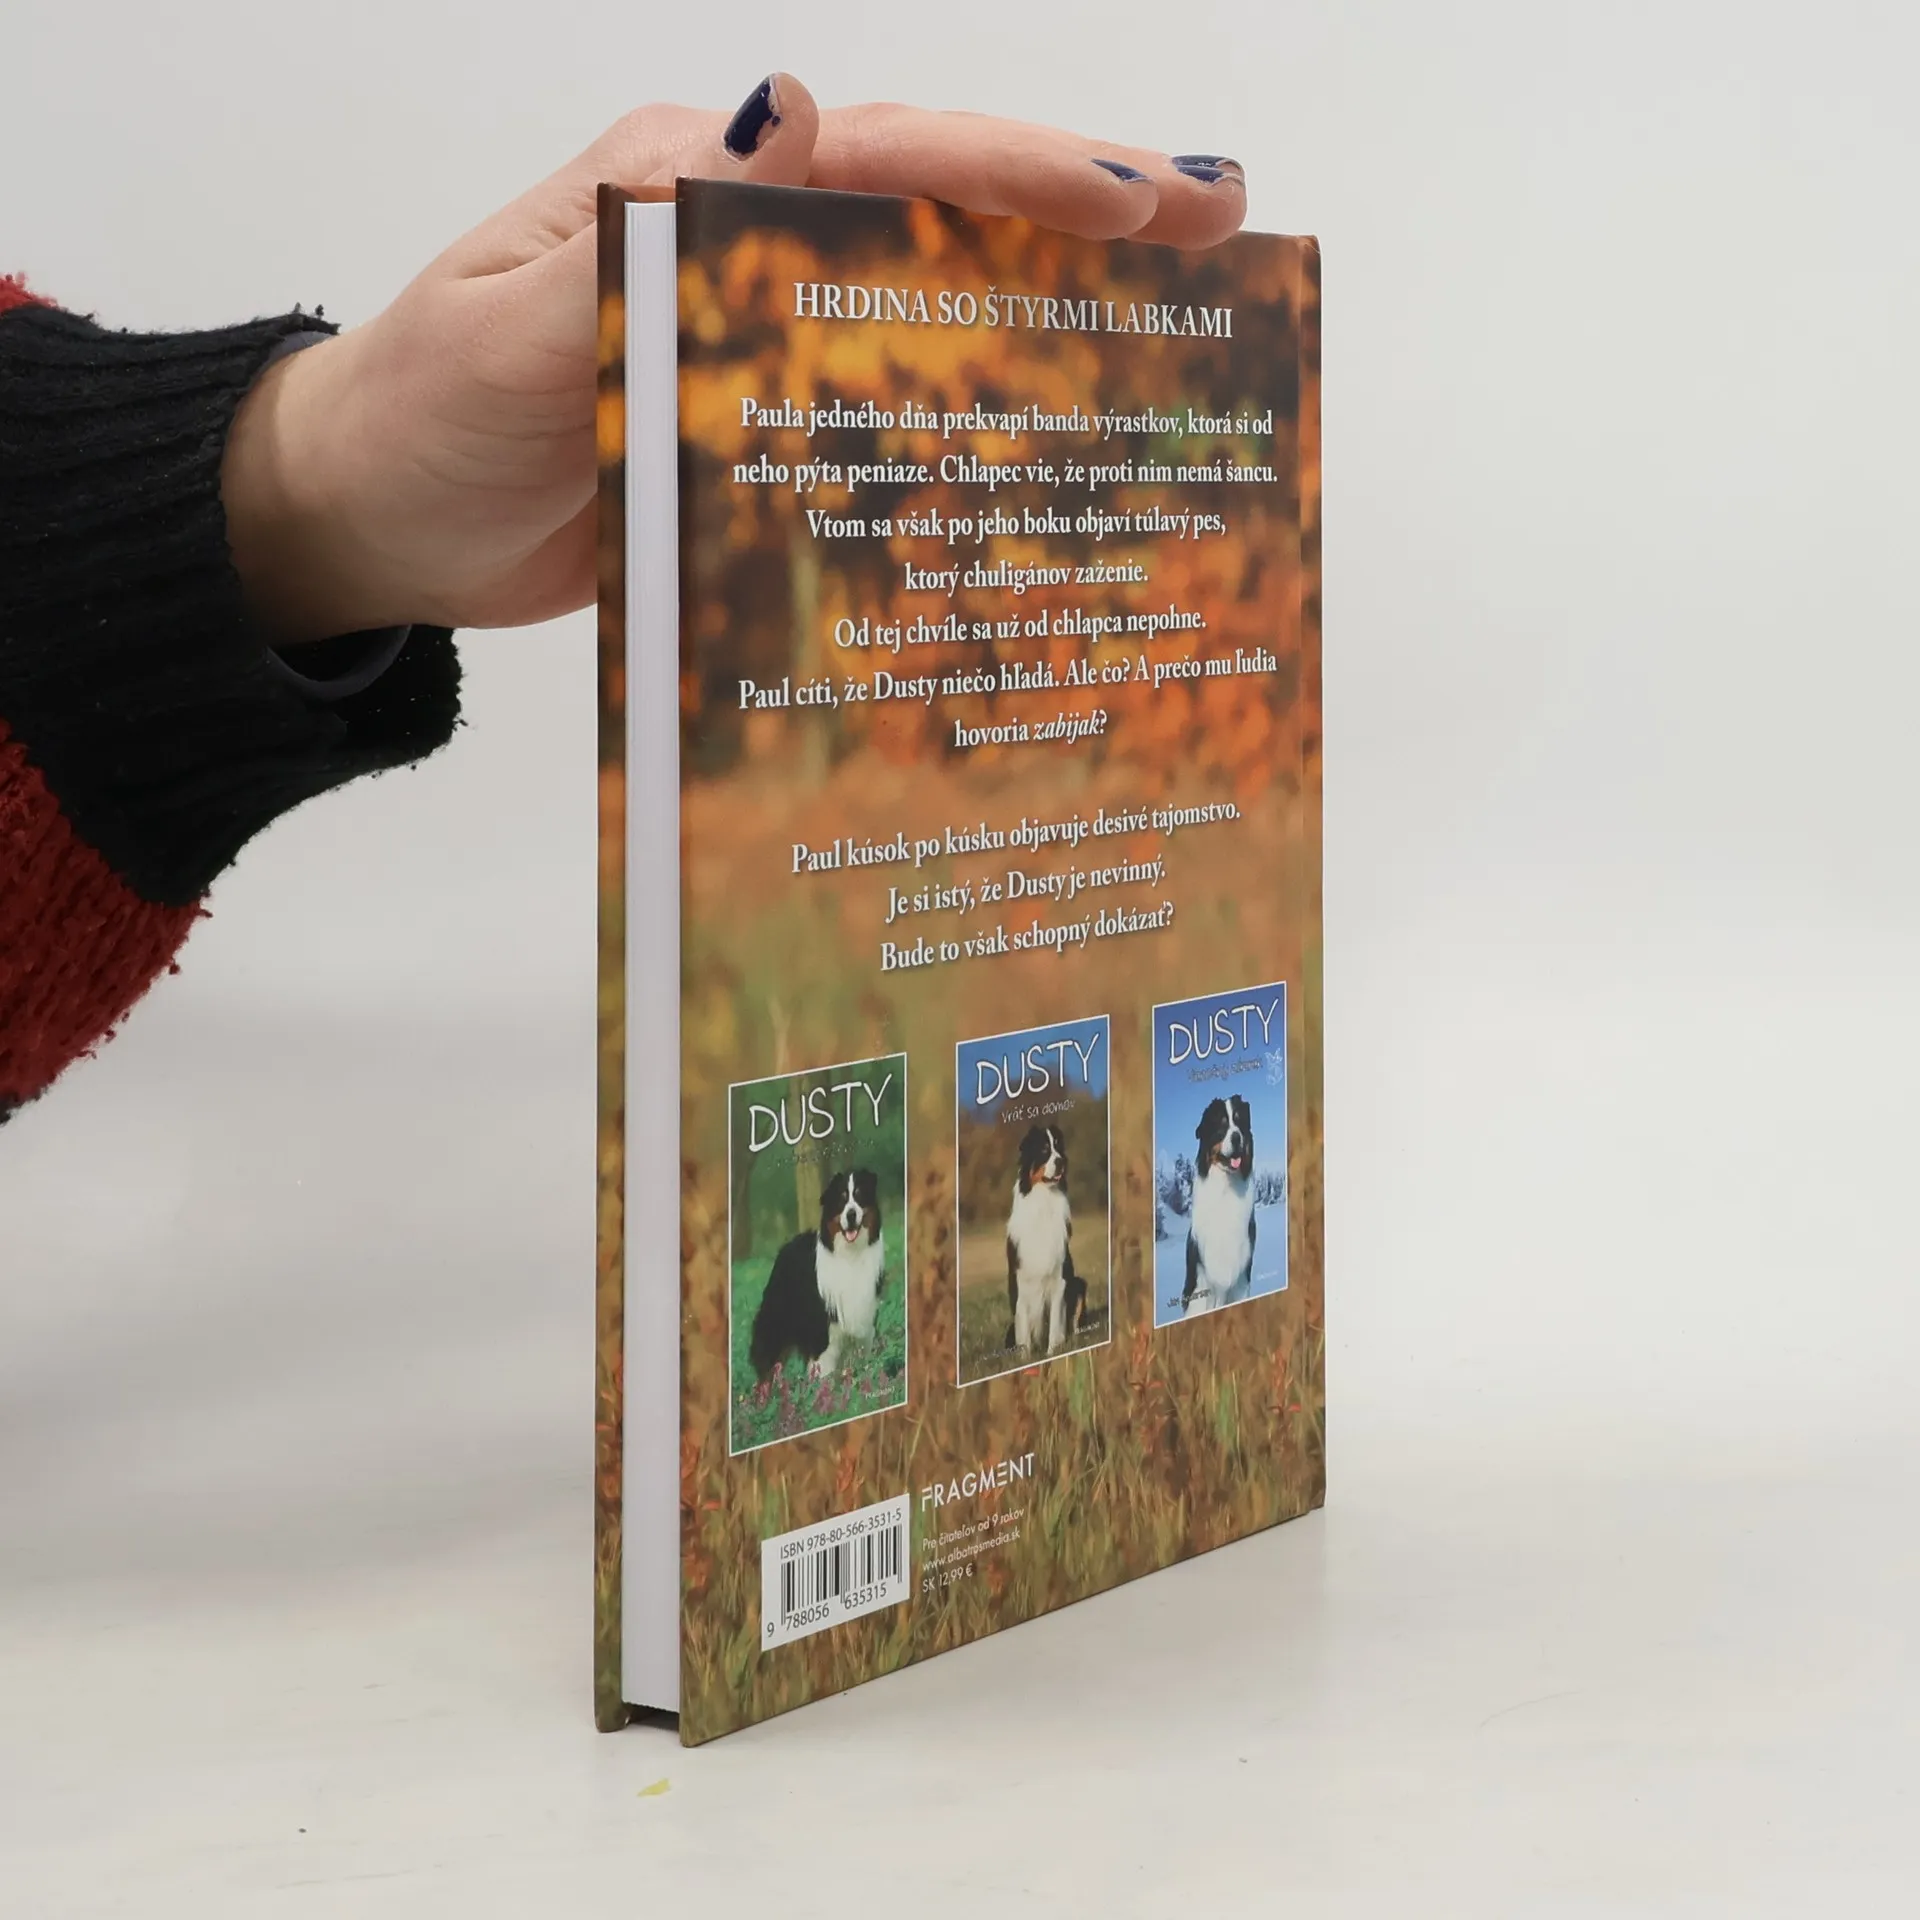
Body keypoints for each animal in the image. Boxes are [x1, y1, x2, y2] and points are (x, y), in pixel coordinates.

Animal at [749, 1169, 886, 1382]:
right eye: (841, 1198)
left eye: (859, 1194)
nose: (851, 1214)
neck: (850, 1255)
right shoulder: (823, 1334)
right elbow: (825, 1376)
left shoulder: (864, 1325)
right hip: (775, 1322)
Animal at [1004, 1124, 1086, 1358]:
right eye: (1043, 1150)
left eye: (1058, 1148)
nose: (1061, 1162)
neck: (1044, 1203)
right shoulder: (1020, 1283)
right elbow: (1024, 1334)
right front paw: (1026, 1359)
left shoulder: (1060, 1279)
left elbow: (1056, 1325)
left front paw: (1052, 1353)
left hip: (1079, 1284)